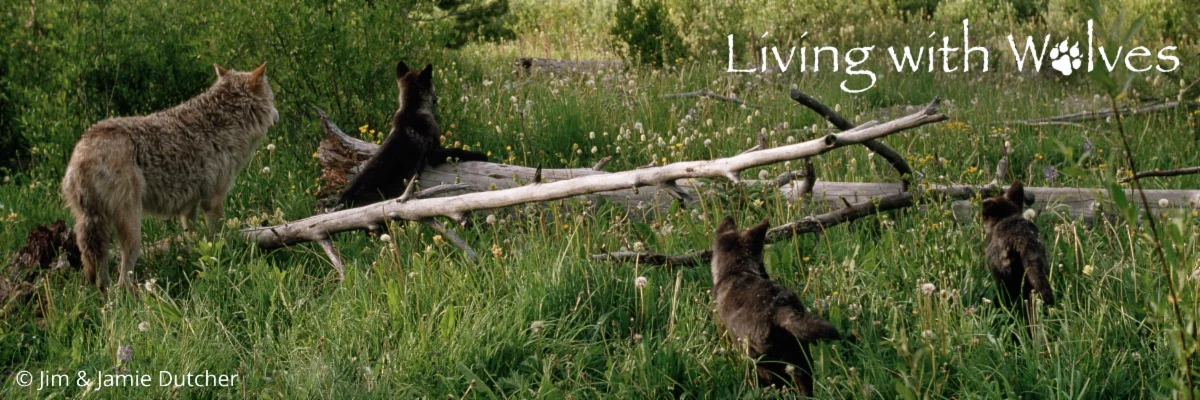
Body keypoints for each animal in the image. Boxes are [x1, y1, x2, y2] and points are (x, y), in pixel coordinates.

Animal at [61, 62, 278, 289]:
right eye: (273, 98)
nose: (277, 114)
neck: (224, 122)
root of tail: (83, 151)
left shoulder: (189, 207)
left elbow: (195, 241)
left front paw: (197, 261)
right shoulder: (213, 200)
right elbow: (218, 237)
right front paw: (224, 259)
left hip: (91, 228)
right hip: (131, 225)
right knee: (124, 275)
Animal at [335, 61, 488, 207]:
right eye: (433, 87)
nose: (436, 99)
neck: (411, 109)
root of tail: (342, 201)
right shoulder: (434, 153)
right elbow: (458, 151)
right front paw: (480, 155)